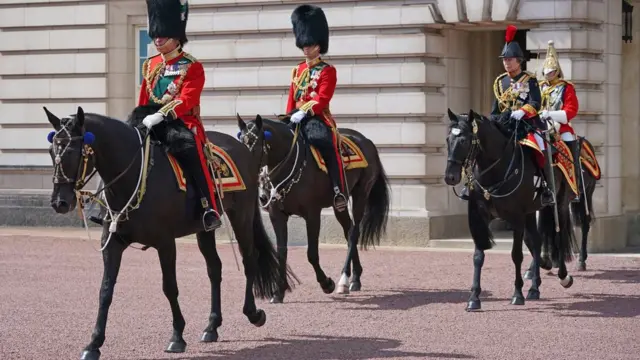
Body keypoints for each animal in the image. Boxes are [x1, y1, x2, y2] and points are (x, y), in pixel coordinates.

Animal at [43, 105, 298, 360]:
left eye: (72, 151)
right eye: (51, 151)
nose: (59, 203)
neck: (134, 177)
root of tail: (242, 148)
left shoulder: (165, 242)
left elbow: (170, 287)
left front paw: (177, 336)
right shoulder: (113, 242)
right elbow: (105, 290)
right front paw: (93, 343)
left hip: (241, 216)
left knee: (249, 260)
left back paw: (253, 313)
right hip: (204, 228)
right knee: (214, 268)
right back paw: (212, 326)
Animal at [235, 113, 390, 304]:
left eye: (254, 145)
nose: (262, 195)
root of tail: (367, 141)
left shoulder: (312, 214)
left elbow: (311, 253)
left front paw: (326, 283)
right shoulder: (277, 215)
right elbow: (282, 252)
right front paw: (278, 292)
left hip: (361, 194)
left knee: (354, 232)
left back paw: (343, 280)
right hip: (339, 204)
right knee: (348, 231)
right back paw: (355, 278)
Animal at [444, 108, 580, 310]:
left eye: (464, 141)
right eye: (448, 139)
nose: (450, 177)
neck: (496, 169)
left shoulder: (516, 217)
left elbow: (516, 255)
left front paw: (517, 294)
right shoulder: (482, 216)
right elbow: (478, 255)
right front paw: (474, 298)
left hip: (560, 204)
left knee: (559, 235)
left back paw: (563, 276)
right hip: (531, 211)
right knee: (536, 241)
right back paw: (534, 288)